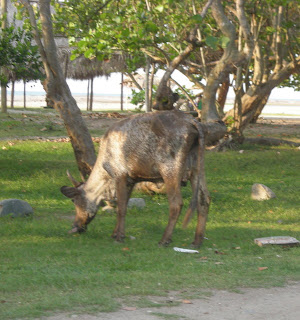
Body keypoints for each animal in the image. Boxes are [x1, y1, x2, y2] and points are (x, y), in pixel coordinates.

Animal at [60, 109, 210, 246]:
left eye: (74, 201)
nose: (76, 226)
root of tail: (193, 122)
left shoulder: (119, 174)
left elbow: (120, 207)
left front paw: (119, 236)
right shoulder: (131, 179)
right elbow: (124, 205)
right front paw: (115, 233)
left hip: (170, 168)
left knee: (176, 203)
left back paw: (164, 240)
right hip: (197, 169)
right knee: (204, 200)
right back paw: (197, 241)